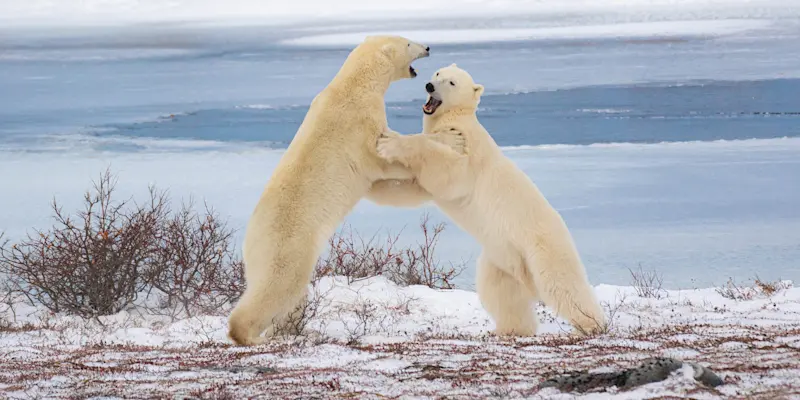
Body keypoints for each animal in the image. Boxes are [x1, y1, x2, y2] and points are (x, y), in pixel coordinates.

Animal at [228, 36, 455, 346]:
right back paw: (252, 335)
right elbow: (382, 159)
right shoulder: (361, 125)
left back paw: (290, 329)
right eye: (409, 43)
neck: (354, 84)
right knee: (279, 287)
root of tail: (250, 236)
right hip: (289, 245)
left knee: (290, 296)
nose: (429, 47)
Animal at [375, 64, 607, 336]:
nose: (429, 86)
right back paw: (510, 329)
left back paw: (591, 324)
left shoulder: (468, 151)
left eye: (451, 83)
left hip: (540, 245)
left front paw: (390, 143)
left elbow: (448, 172)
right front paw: (377, 183)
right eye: (438, 73)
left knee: (561, 283)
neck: (455, 117)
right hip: (502, 258)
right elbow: (415, 186)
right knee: (501, 292)